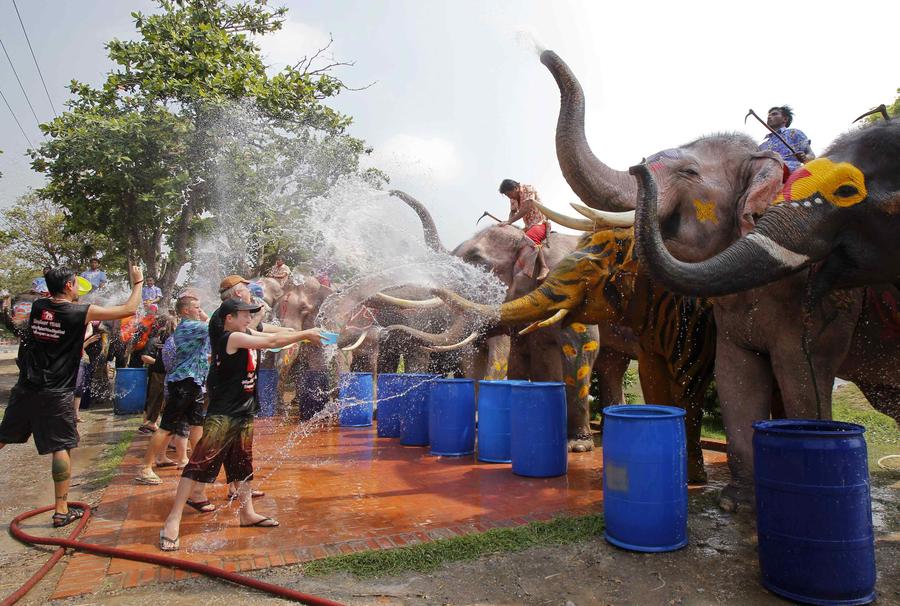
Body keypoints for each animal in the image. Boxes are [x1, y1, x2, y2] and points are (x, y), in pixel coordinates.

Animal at [384, 192, 636, 454]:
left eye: (479, 263)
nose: (387, 329)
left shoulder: (575, 285)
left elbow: (582, 348)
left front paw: (576, 446)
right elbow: (535, 358)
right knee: (612, 365)